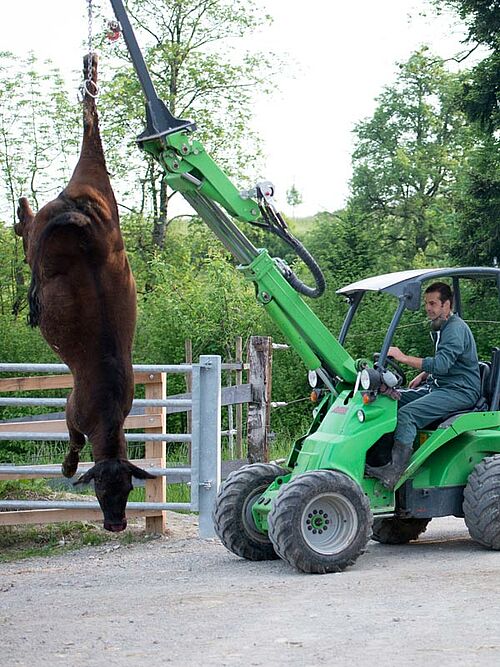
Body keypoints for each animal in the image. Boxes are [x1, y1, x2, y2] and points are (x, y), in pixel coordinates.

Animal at [14, 53, 154, 532]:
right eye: (99, 489)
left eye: (127, 489)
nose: (116, 524)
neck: (109, 408)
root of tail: (89, 213)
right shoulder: (73, 409)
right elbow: (73, 441)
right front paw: (68, 466)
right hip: (47, 231)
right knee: (27, 223)